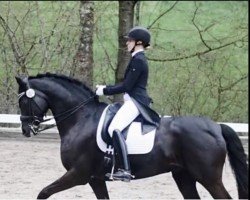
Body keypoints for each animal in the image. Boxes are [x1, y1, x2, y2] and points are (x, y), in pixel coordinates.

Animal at [15, 73, 248, 198]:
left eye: (24, 101)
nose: (26, 130)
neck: (81, 118)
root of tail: (216, 127)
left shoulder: (78, 174)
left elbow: (43, 193)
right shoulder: (95, 179)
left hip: (208, 177)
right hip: (183, 175)